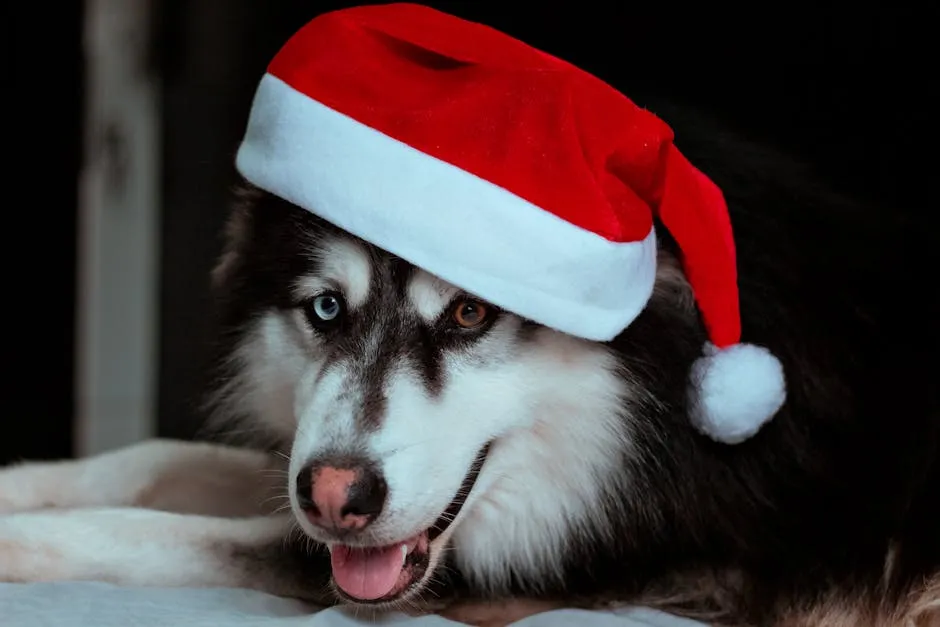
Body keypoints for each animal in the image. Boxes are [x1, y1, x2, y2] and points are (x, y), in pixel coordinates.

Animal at [0, 87, 936, 624]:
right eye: (326, 308)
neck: (662, 416)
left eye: (469, 312)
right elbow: (158, 459)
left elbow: (164, 532)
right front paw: (21, 485)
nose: (336, 496)